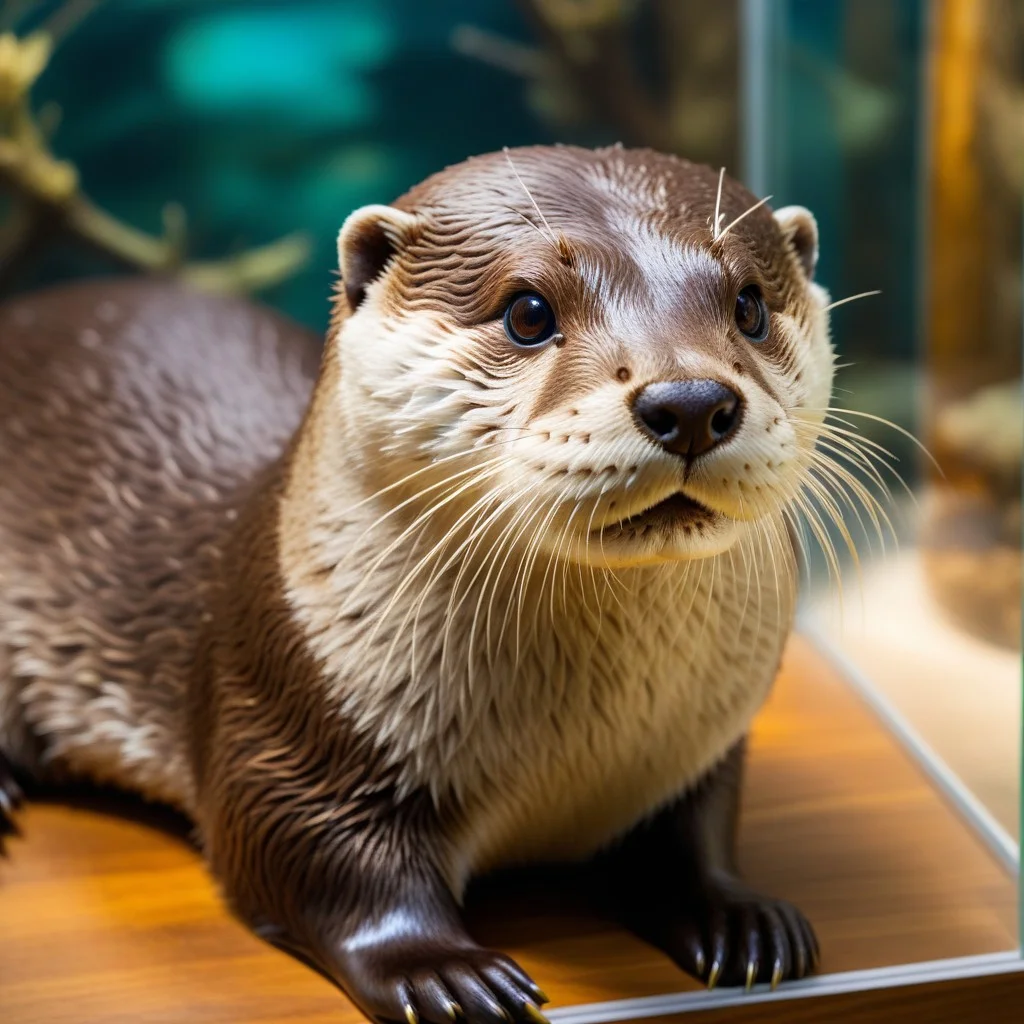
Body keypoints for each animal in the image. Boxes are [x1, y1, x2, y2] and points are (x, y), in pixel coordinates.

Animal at [0, 145, 832, 1023]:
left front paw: (741, 917)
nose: (691, 401)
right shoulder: (287, 718)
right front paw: (443, 970)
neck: (574, 757)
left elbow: (698, 831)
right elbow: (310, 857)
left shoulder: (699, 745)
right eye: (528, 311)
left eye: (748, 304)